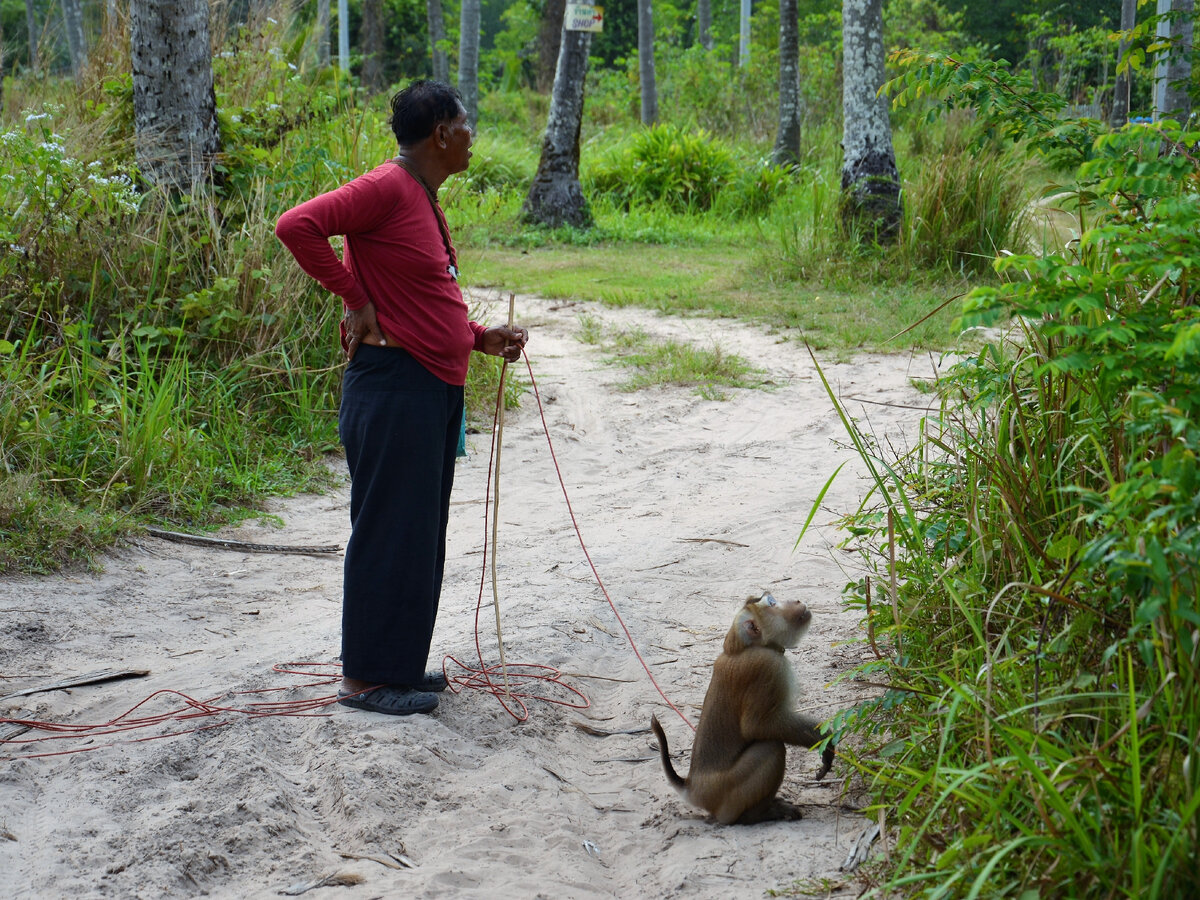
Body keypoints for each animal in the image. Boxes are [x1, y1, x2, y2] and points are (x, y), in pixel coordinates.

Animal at [648, 595, 835, 830]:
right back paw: (755, 815)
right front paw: (823, 738)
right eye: (772, 603)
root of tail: (692, 787)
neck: (743, 647)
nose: (796, 601)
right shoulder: (768, 666)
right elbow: (757, 725)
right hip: (726, 792)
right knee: (770, 748)